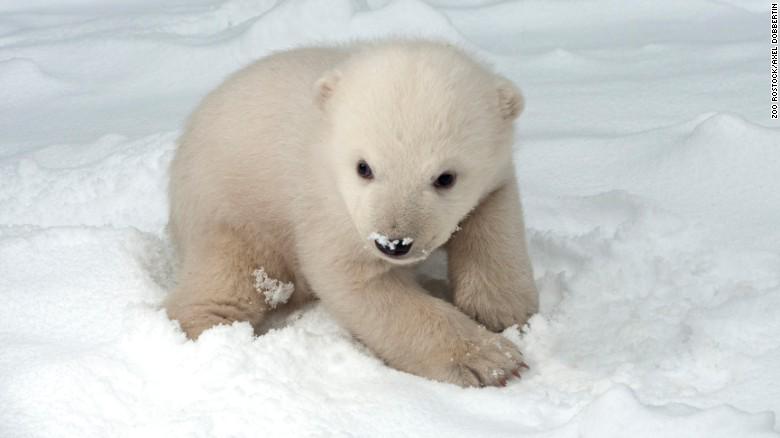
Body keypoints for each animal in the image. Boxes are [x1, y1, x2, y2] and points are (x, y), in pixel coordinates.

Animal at [164, 40, 538, 387]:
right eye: (364, 167)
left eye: (446, 177)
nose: (393, 243)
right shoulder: (329, 205)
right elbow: (357, 281)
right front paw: (491, 360)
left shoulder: (496, 174)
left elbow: (493, 217)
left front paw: (503, 310)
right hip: (231, 210)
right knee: (228, 283)